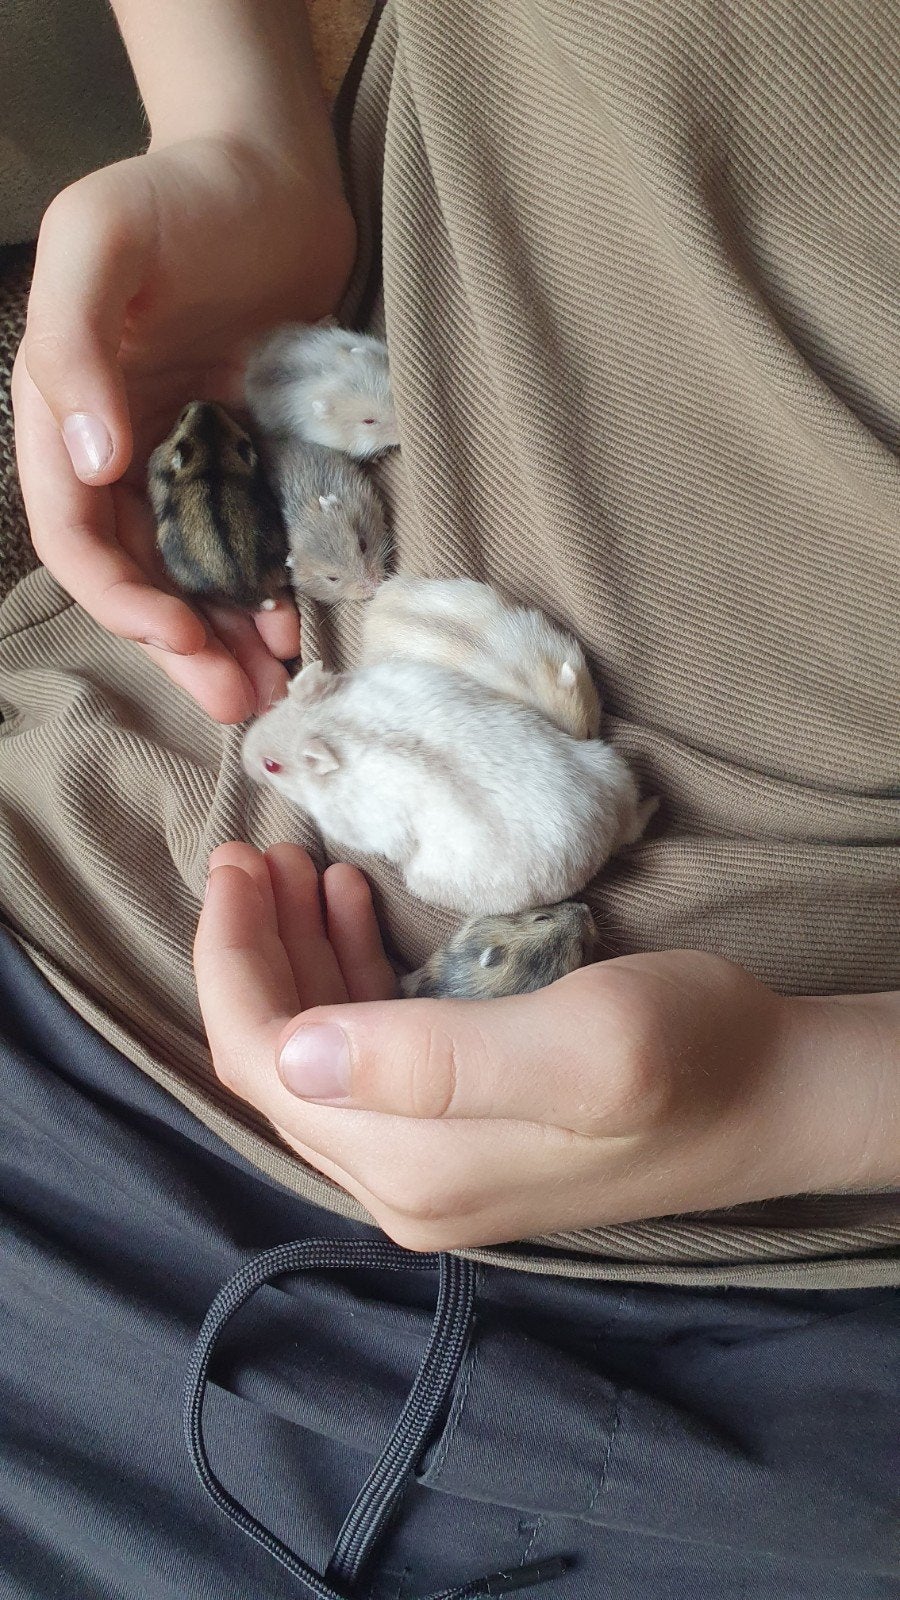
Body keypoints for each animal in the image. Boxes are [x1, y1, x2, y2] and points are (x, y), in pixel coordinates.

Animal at [241, 659, 657, 917]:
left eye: (272, 766)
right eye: (274, 706)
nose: (244, 757)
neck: (331, 726)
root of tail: (609, 828)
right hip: (609, 763)